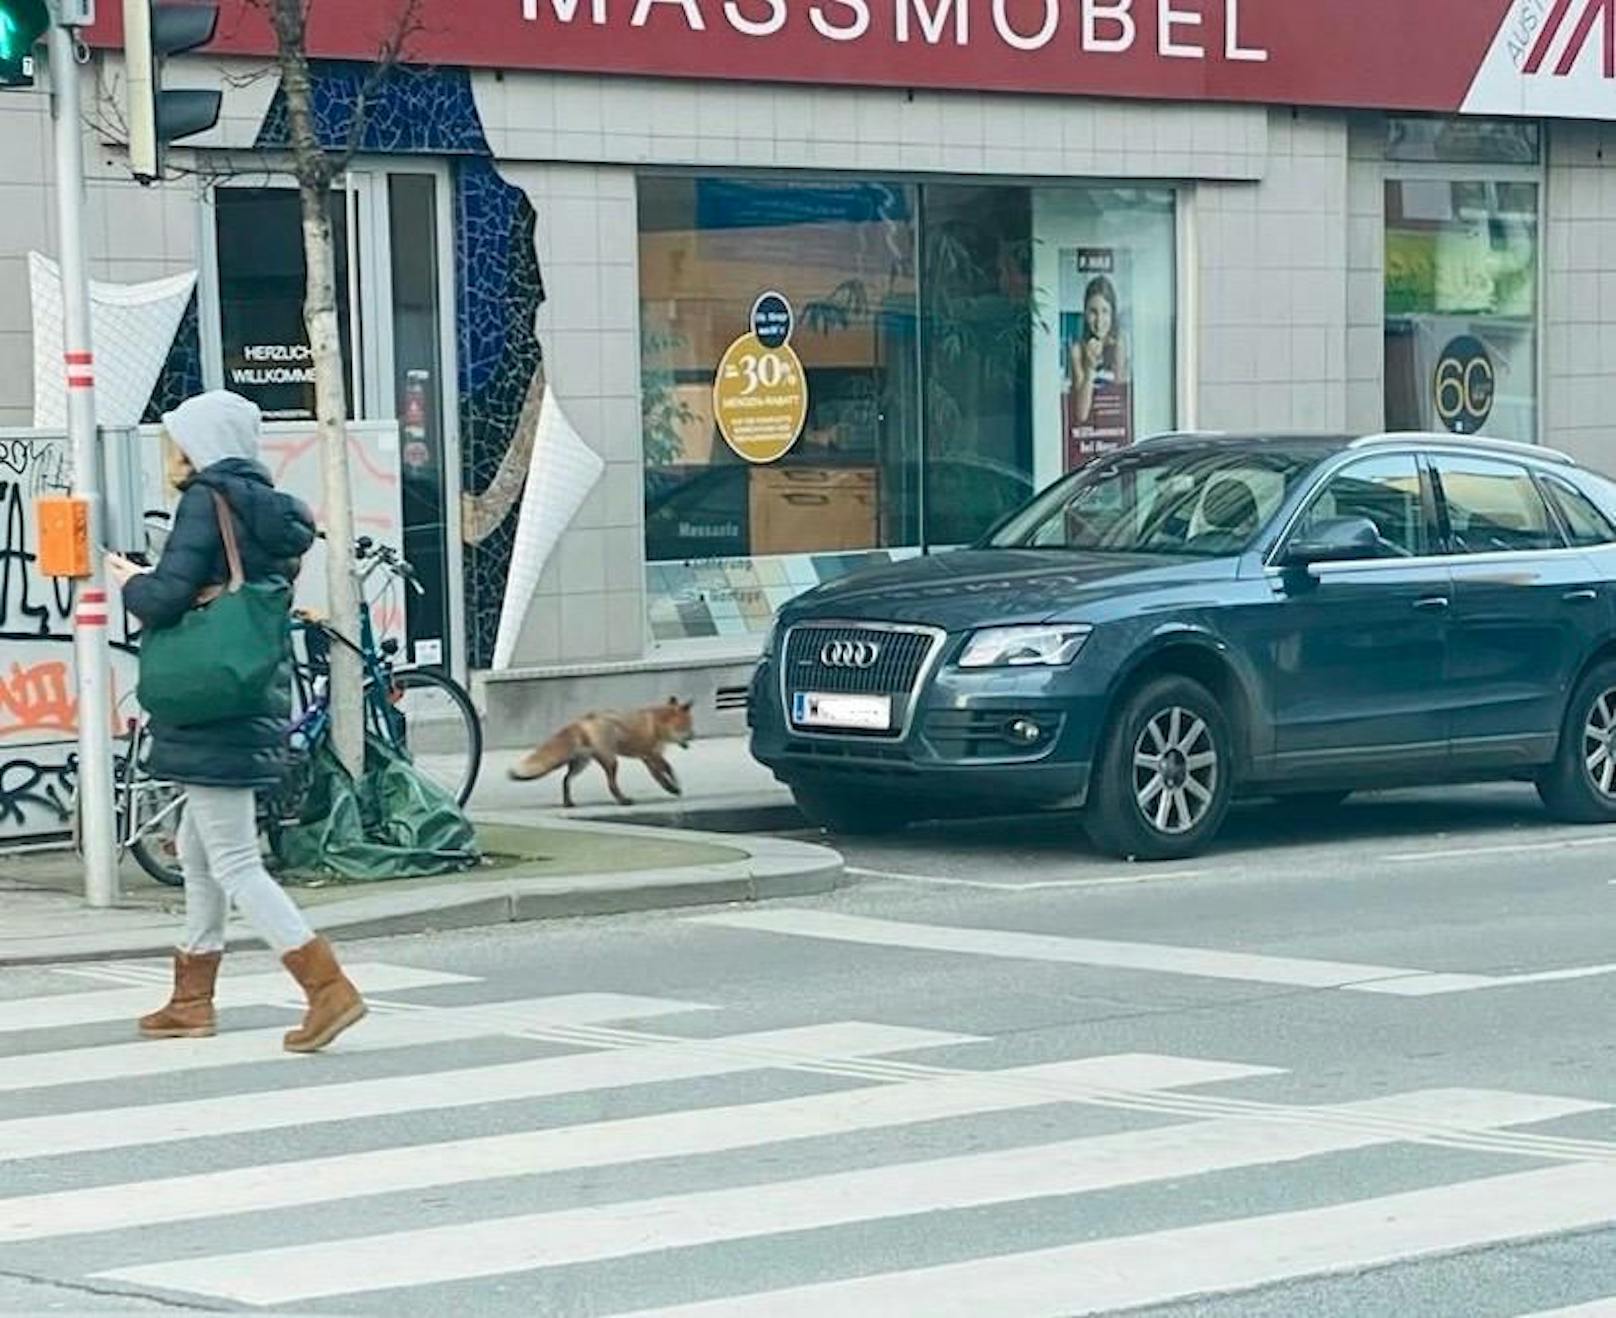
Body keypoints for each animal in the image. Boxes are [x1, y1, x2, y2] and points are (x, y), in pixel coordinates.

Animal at [510, 694, 694, 807]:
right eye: (688, 726)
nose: (693, 736)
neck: (658, 724)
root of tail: (582, 719)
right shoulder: (652, 754)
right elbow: (668, 769)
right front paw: (676, 786)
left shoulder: (647, 758)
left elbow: (660, 778)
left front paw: (671, 788)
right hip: (612, 761)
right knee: (611, 785)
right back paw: (623, 800)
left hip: (581, 764)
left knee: (565, 780)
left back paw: (568, 803)